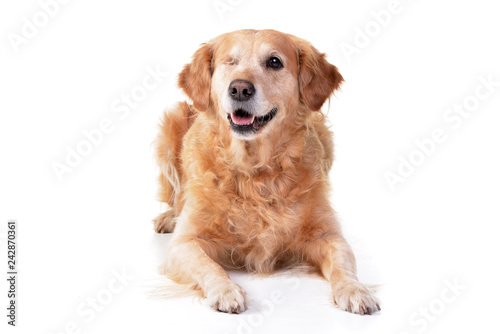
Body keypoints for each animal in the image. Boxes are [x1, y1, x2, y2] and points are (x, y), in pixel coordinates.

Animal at [152, 28, 378, 316]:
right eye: (230, 61)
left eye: (274, 62)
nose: (239, 88)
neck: (254, 171)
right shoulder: (185, 243)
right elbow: (209, 265)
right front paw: (226, 290)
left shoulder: (328, 235)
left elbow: (343, 266)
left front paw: (354, 289)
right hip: (170, 127)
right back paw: (168, 218)